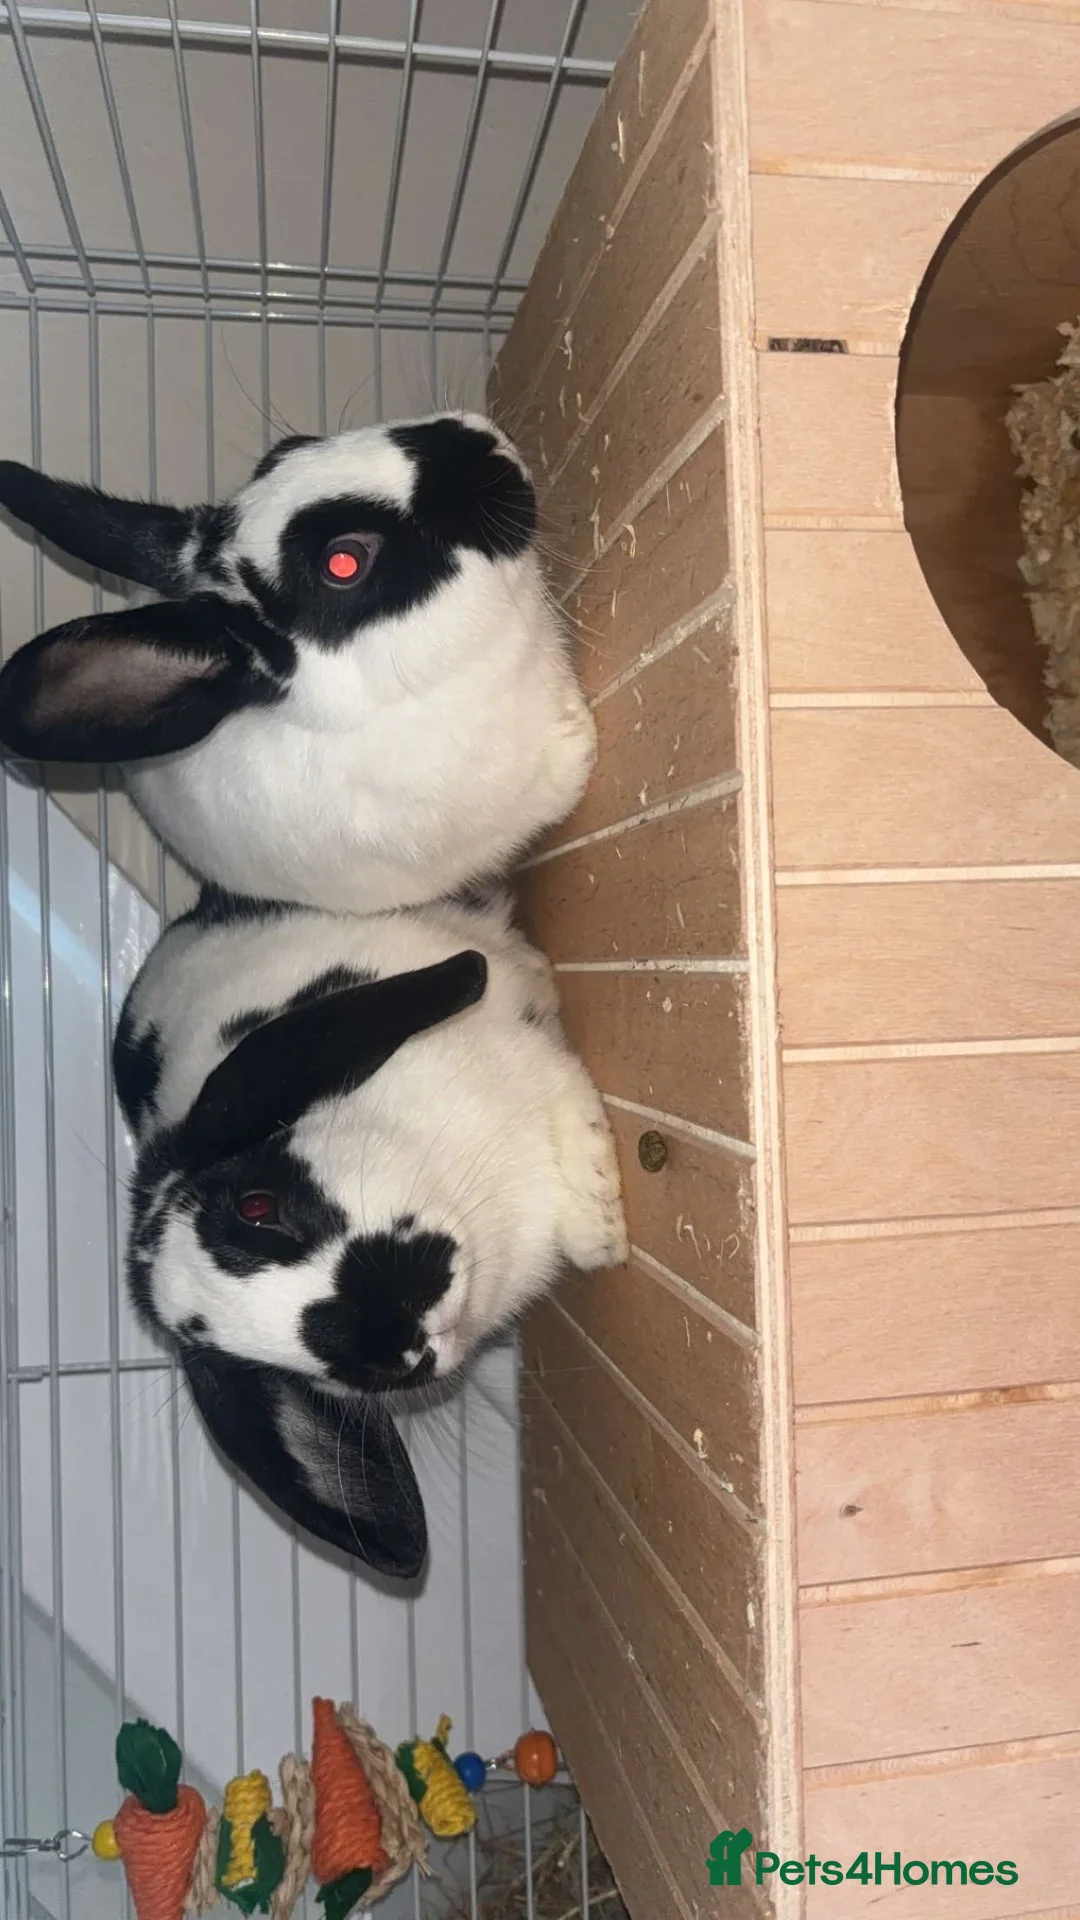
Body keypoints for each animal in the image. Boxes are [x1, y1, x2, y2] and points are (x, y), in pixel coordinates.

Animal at [116, 882, 628, 1579]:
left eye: (257, 1206)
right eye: (267, 1364)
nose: (399, 1346)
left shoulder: (529, 1067)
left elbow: (573, 1114)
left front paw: (602, 1233)